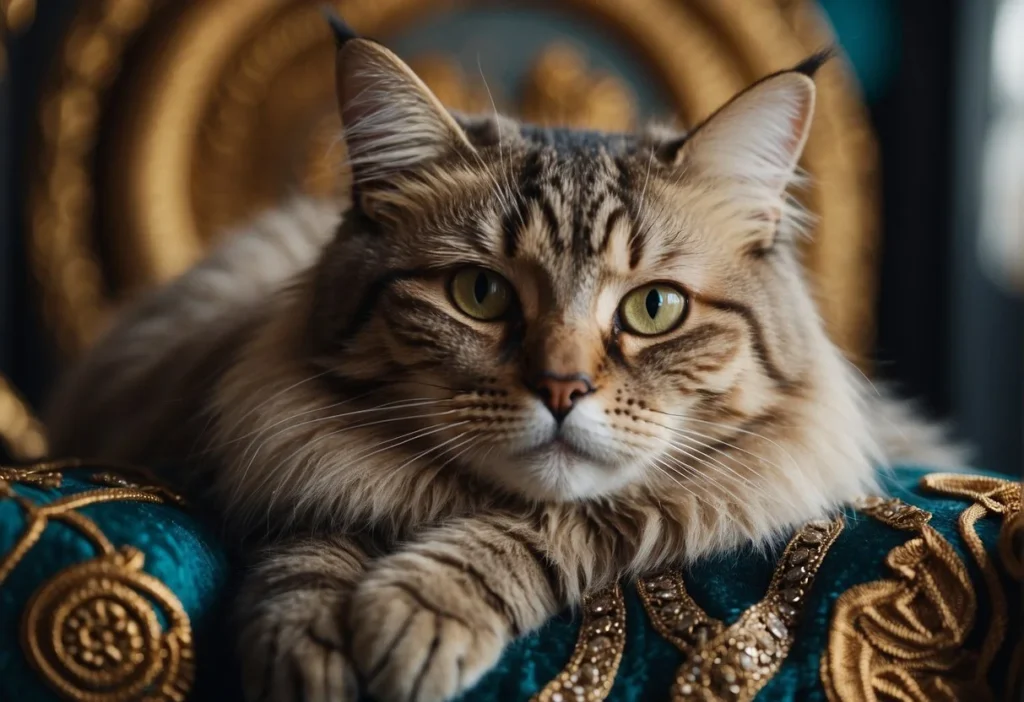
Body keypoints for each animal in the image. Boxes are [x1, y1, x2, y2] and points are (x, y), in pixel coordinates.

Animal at [44, 16, 962, 702]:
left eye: (654, 308)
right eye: (479, 294)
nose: (561, 388)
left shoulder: (709, 492)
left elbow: (549, 525)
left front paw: (413, 615)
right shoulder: (277, 436)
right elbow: (312, 536)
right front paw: (311, 647)